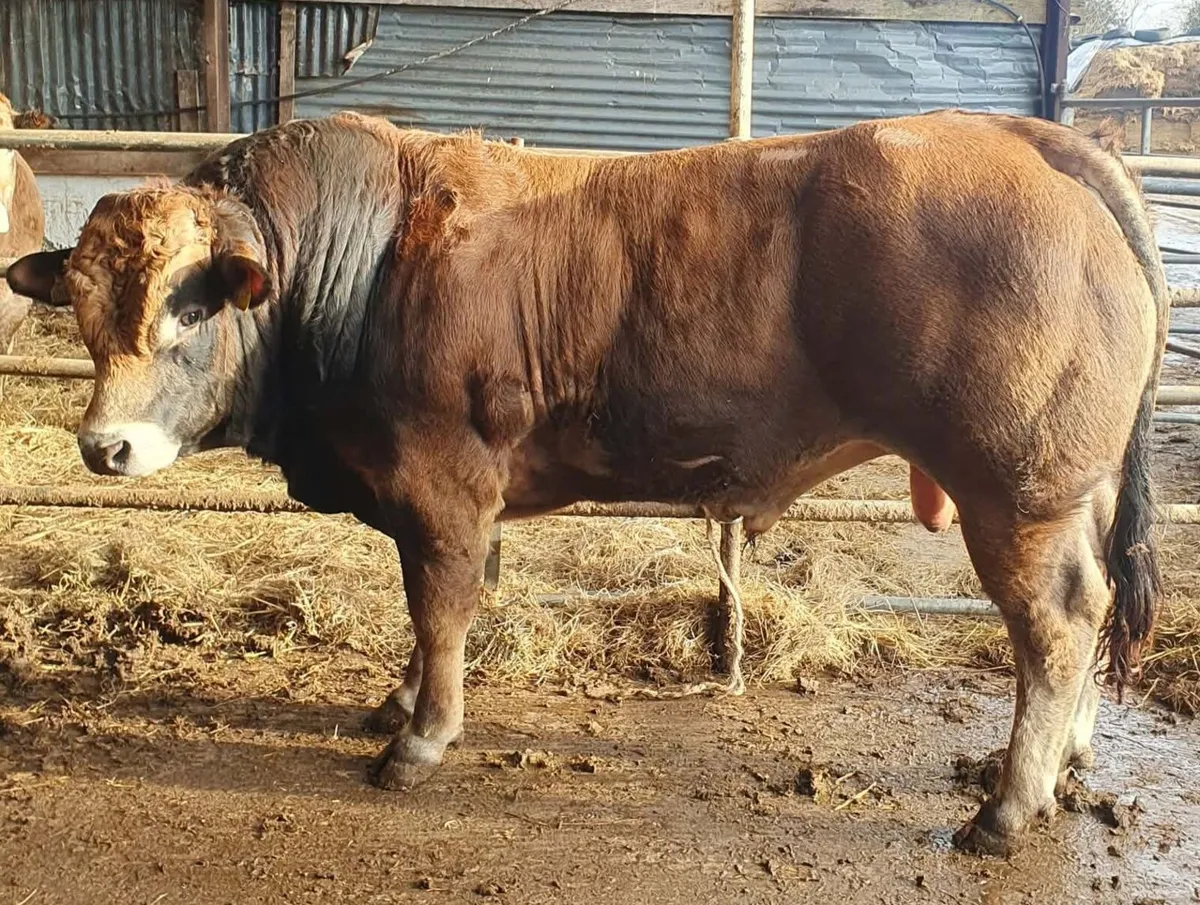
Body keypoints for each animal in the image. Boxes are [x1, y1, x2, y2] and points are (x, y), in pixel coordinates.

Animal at [6, 109, 1166, 856]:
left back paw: (1006, 806)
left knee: (1057, 623)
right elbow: (431, 610)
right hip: (1077, 494)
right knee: (1096, 603)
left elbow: (440, 605)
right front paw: (400, 697)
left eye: (190, 305)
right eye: (85, 304)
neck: (363, 264)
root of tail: (1030, 137)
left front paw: (420, 737)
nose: (104, 448)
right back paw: (1066, 763)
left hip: (1018, 492)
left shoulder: (442, 484)